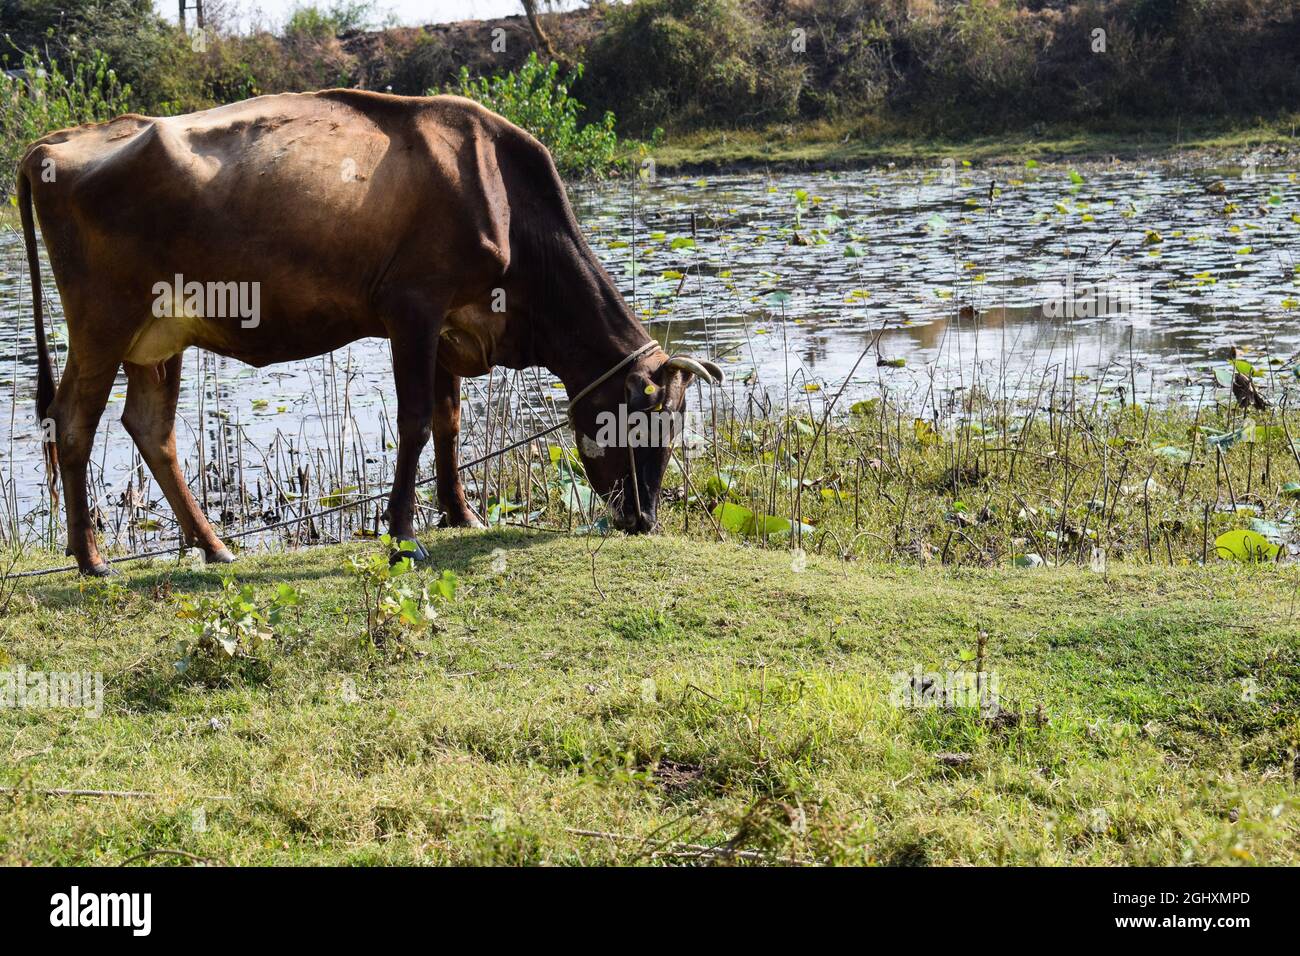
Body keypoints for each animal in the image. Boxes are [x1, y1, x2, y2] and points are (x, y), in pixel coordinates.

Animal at [17, 90, 722, 575]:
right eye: (642, 420)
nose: (644, 518)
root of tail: (54, 145)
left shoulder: (448, 327)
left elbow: (448, 419)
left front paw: (460, 514)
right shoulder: (412, 309)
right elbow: (415, 422)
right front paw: (401, 535)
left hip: (159, 336)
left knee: (149, 428)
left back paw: (214, 548)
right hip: (103, 320)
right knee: (73, 420)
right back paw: (91, 559)